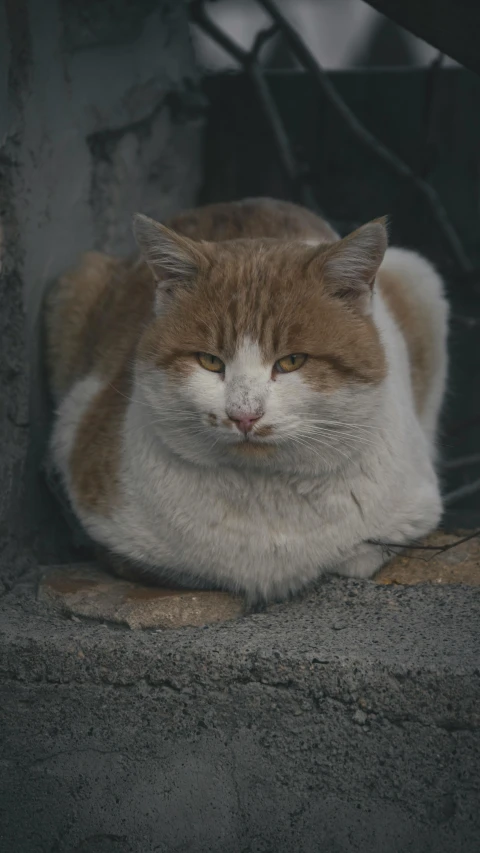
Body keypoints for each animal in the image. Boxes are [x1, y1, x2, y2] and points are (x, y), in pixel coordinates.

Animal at [43, 196, 448, 608]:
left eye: (292, 361)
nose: (244, 415)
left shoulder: (408, 517)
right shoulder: (76, 432)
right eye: (209, 361)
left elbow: (356, 556)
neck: (264, 496)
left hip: (420, 280)